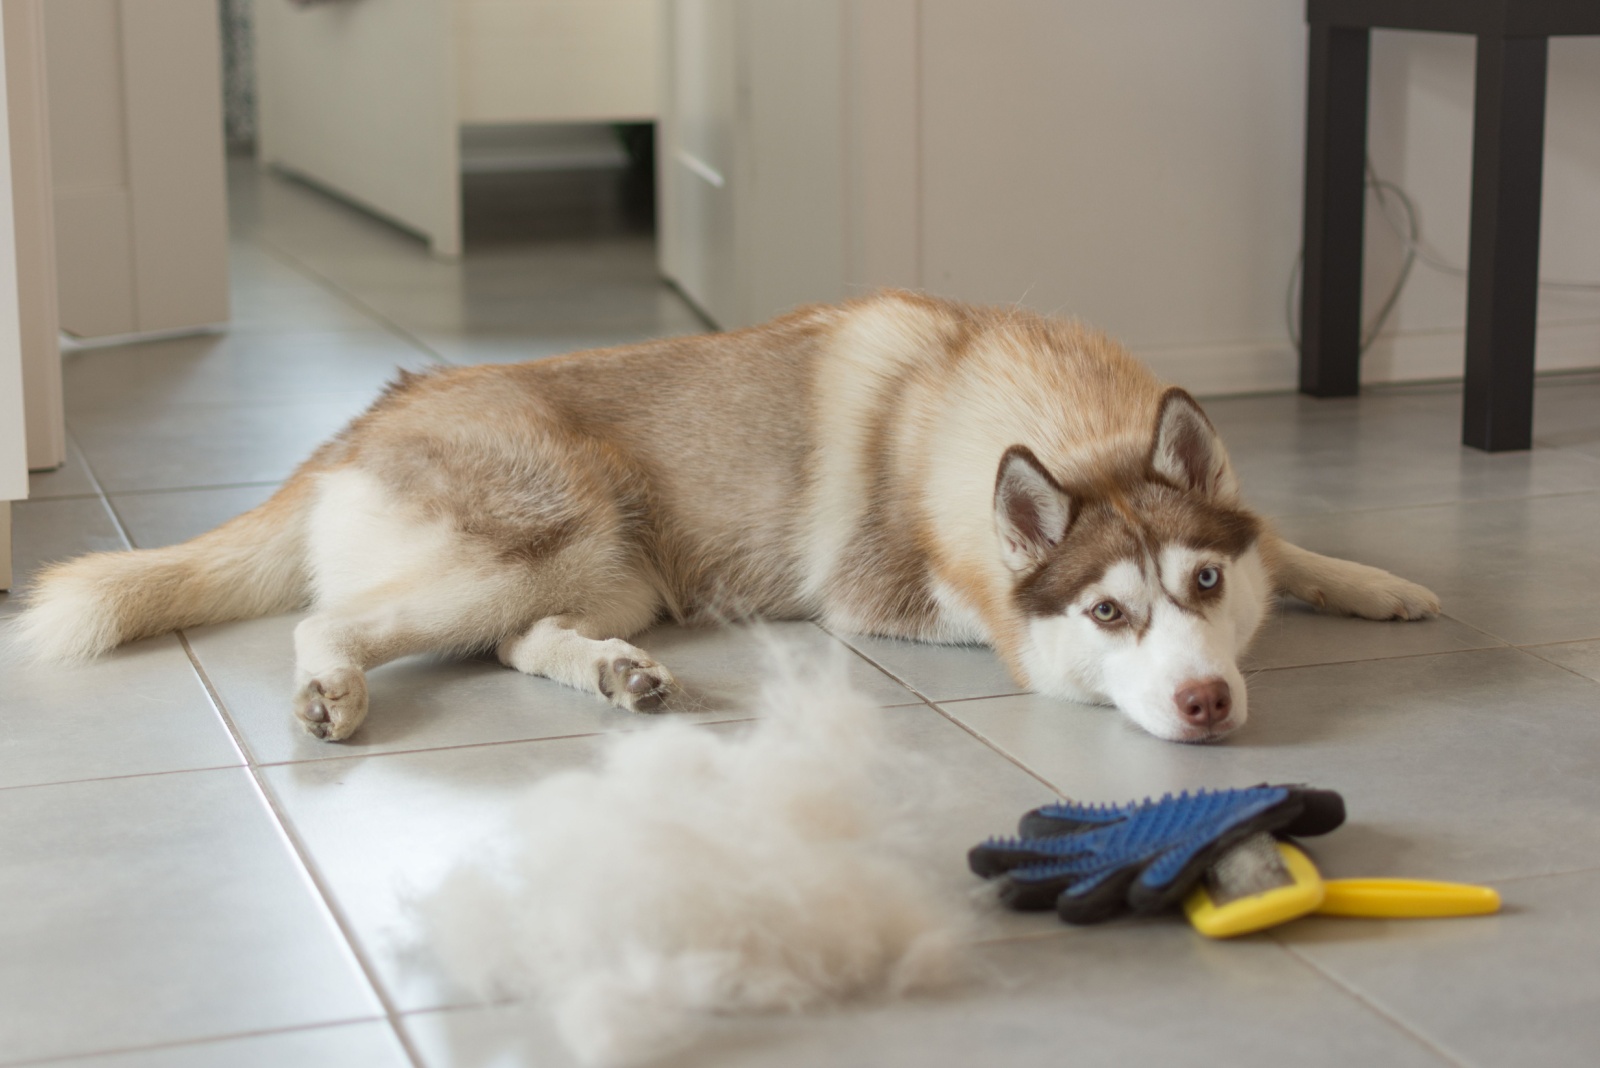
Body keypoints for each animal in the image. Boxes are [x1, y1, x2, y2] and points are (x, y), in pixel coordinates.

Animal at [9, 292, 1440, 741]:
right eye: (1106, 611)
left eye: (1202, 586)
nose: (1207, 702)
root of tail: (360, 421)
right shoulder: (882, 596)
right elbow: (999, 629)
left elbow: (1289, 542)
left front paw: (1376, 584)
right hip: (550, 528)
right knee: (337, 619)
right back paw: (329, 687)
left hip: (615, 569)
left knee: (512, 641)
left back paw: (614, 675)